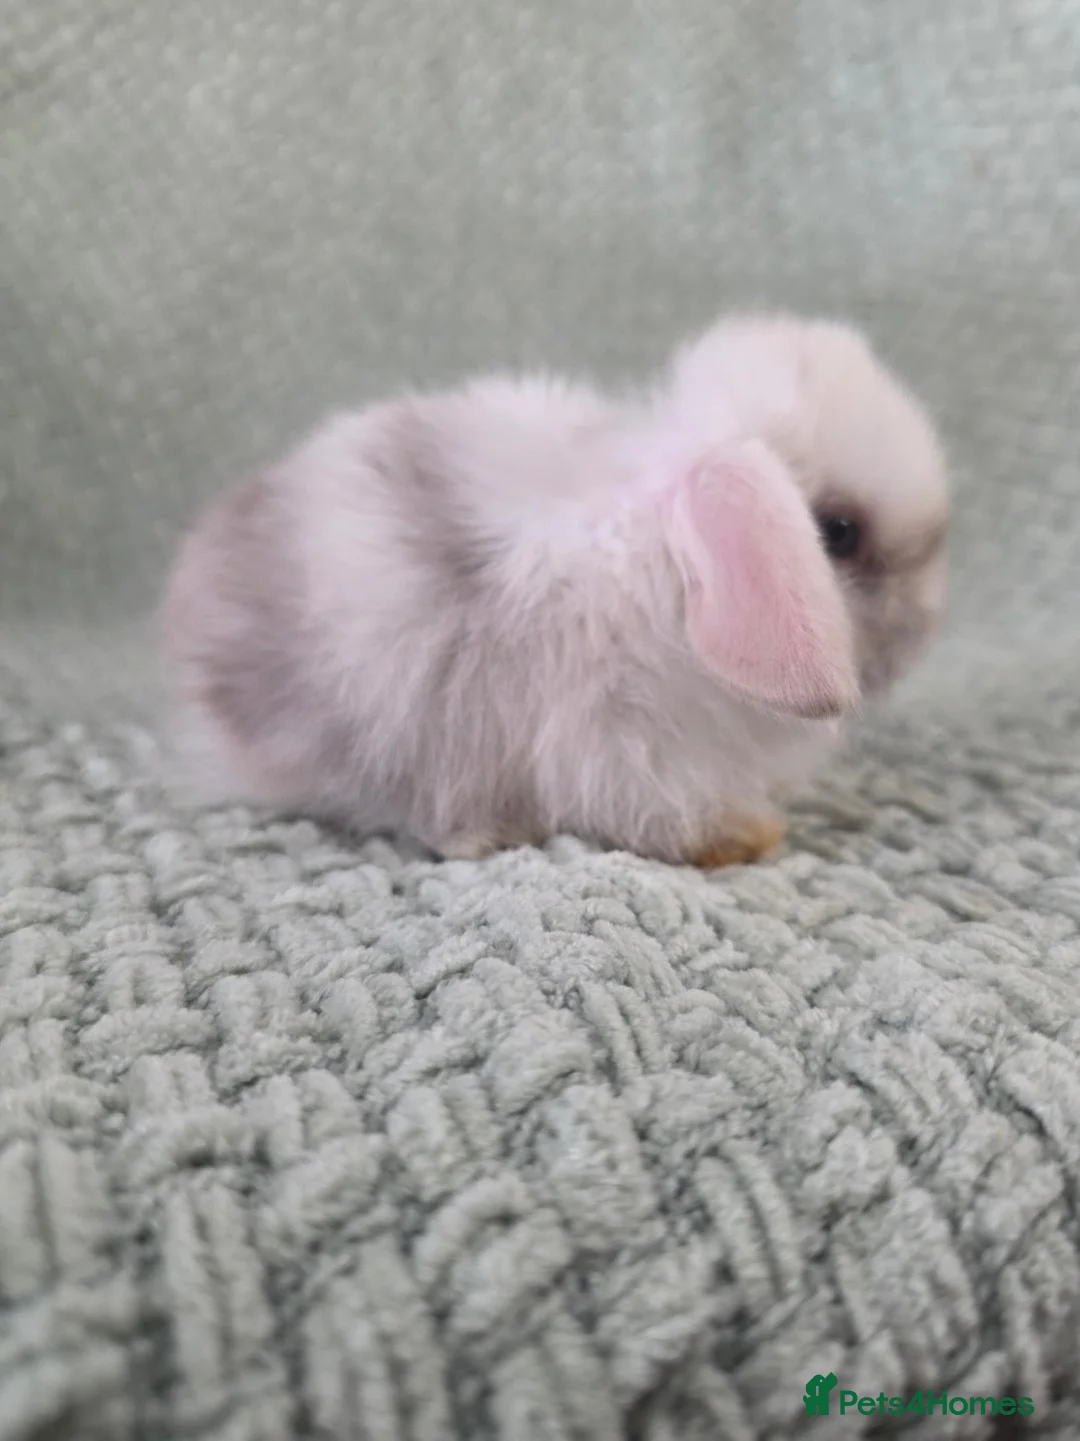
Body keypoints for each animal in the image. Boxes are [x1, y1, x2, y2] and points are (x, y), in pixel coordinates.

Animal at [160, 312, 949, 867]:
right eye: (839, 532)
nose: (925, 625)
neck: (666, 566)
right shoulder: (624, 738)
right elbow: (659, 807)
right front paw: (744, 838)